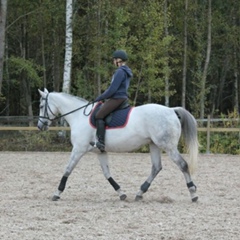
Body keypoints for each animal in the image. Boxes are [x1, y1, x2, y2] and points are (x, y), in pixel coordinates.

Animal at [37, 89, 199, 202]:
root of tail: (171, 110)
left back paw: (193, 193)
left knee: (182, 165)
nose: (40, 126)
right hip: (154, 145)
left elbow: (67, 170)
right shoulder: (100, 152)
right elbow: (107, 173)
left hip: (168, 146)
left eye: (41, 105)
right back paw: (140, 192)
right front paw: (121, 193)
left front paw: (57, 193)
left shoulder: (78, 149)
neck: (78, 116)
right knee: (156, 167)